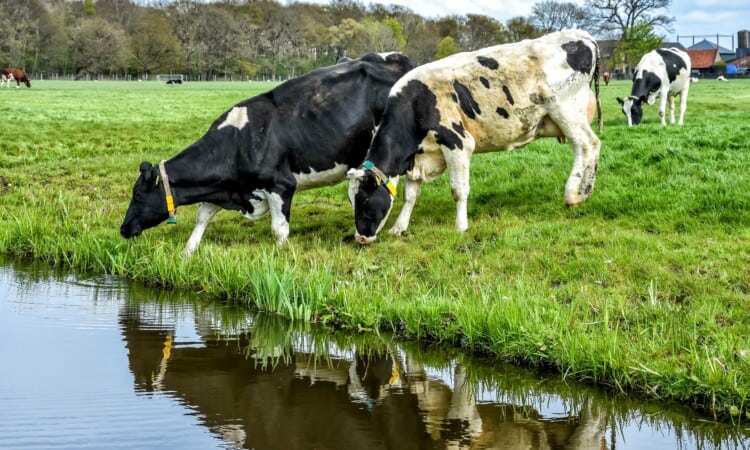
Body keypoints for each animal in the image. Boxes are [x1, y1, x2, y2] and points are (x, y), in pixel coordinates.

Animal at [122, 51, 418, 255]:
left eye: (138, 195)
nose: (123, 228)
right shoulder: (225, 188)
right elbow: (202, 215)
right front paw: (188, 251)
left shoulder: (281, 186)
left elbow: (279, 229)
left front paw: (280, 257)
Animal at [348, 29, 604, 244]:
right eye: (352, 200)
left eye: (364, 200)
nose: (360, 238)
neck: (416, 103)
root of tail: (581, 34)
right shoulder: (419, 156)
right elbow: (410, 194)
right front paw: (399, 227)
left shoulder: (457, 143)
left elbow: (458, 190)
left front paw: (461, 226)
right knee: (586, 147)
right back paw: (583, 192)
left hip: (567, 110)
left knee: (588, 145)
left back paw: (575, 195)